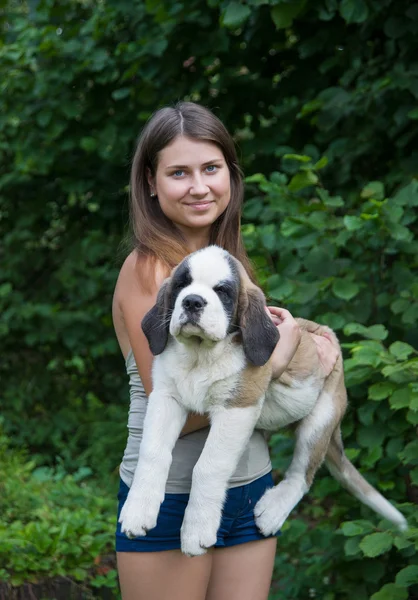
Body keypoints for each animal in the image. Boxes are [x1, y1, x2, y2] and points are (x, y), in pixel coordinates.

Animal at [119, 246, 406, 556]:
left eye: (222, 291)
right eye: (182, 284)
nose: (192, 301)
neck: (200, 356)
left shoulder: (237, 408)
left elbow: (208, 466)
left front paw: (197, 528)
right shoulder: (165, 397)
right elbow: (152, 451)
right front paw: (138, 510)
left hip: (323, 416)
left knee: (302, 475)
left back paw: (273, 509)